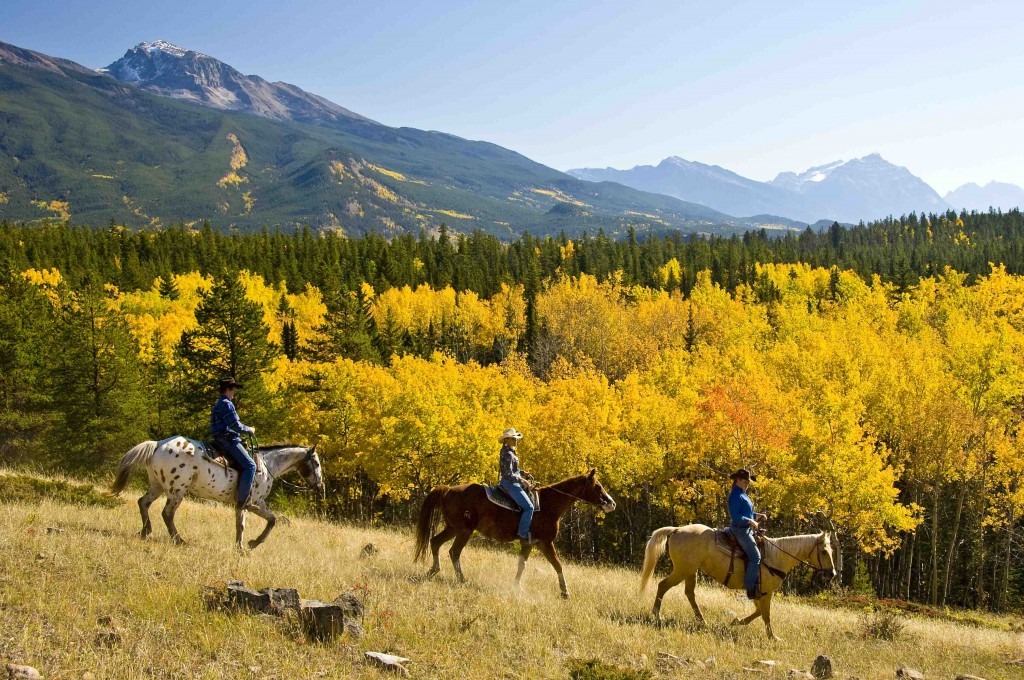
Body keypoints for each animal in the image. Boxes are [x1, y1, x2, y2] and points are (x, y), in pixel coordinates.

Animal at [111, 436, 321, 553]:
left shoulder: (258, 502)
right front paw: (241, 548)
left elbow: (271, 520)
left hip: (157, 485)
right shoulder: (247, 502)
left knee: (143, 503)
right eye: (317, 463)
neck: (267, 465)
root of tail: (157, 444)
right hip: (177, 490)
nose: (319, 485)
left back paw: (145, 531)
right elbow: (241, 525)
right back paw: (178, 540)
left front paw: (253, 543)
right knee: (167, 513)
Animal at [413, 471, 614, 598]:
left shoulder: (529, 543)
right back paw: (462, 580)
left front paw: (517, 587)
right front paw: (565, 592)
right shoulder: (545, 542)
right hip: (464, 531)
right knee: (454, 552)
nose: (611, 503)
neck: (549, 505)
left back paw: (433, 570)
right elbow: (557, 565)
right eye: (598, 486)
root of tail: (448, 490)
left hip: (452, 528)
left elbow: (521, 565)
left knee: (435, 542)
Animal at [638, 524, 839, 639]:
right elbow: (765, 615)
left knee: (689, 594)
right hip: (682, 570)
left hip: (690, 571)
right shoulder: (766, 592)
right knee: (663, 586)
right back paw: (656, 615)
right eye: (823, 551)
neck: (776, 556)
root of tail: (677, 530)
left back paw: (702, 621)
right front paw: (772, 637)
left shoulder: (759, 592)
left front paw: (736, 622)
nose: (832, 574)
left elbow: (758, 613)